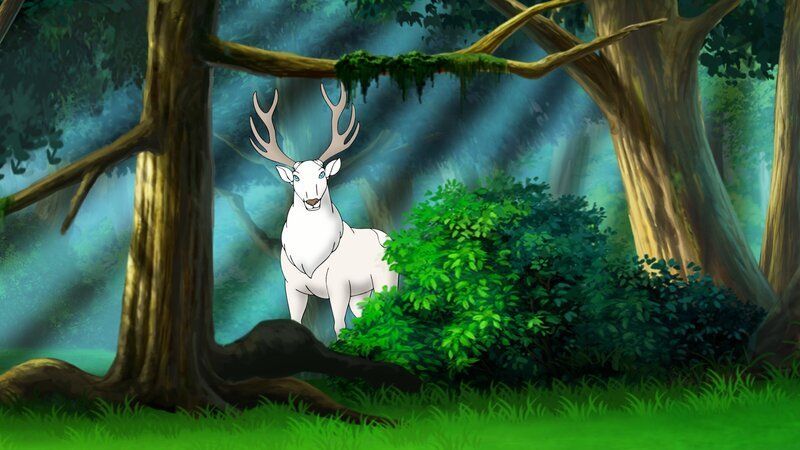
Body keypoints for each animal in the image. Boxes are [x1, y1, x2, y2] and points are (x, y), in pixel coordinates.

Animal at [249, 82, 399, 339]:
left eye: (322, 174)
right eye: (296, 177)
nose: (312, 201)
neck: (310, 261)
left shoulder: (339, 283)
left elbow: (339, 326)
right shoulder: (292, 285)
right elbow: (296, 320)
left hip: (386, 280)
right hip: (361, 293)